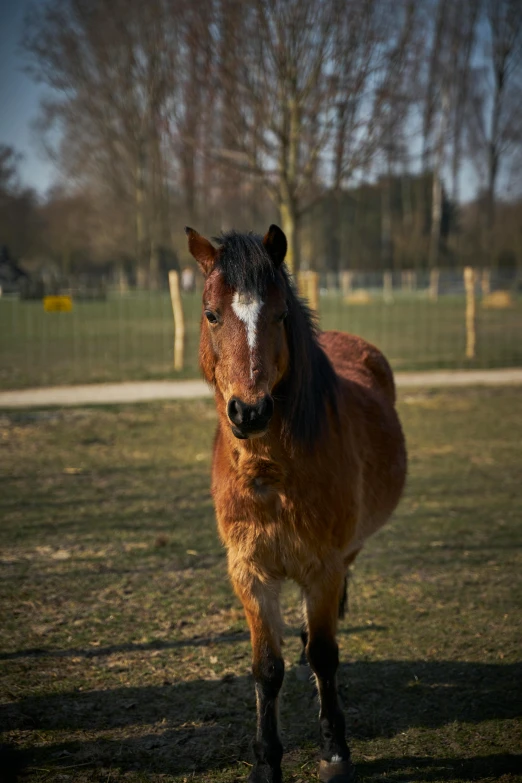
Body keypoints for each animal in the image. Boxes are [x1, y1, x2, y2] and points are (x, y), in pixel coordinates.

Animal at [184, 224, 406, 780]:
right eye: (211, 313)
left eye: (280, 314)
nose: (250, 411)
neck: (271, 475)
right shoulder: (249, 574)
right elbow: (267, 668)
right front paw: (266, 761)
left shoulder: (322, 567)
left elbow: (326, 655)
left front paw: (335, 751)